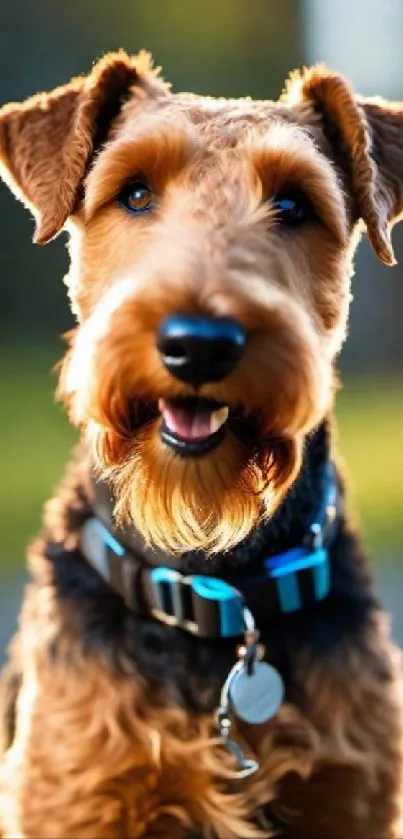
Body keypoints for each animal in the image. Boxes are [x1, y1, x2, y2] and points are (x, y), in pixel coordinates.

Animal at [0, 49, 403, 836]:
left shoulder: (351, 800)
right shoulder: (76, 797)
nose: (200, 344)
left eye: (293, 204)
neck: (213, 586)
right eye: (133, 192)